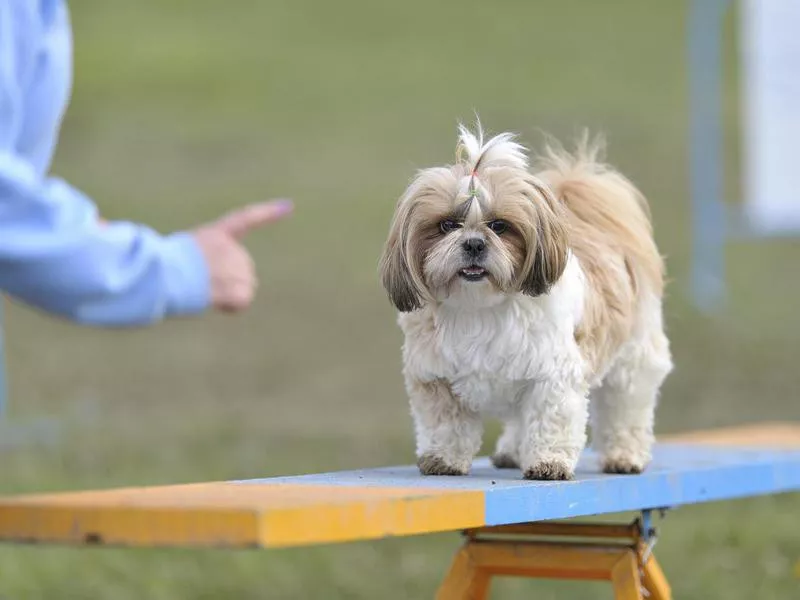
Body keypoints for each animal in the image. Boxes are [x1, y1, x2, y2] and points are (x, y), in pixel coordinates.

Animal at [378, 124, 672, 480]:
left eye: (499, 226)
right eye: (447, 225)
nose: (474, 243)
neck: (479, 307)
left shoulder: (553, 374)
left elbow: (550, 420)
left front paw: (549, 463)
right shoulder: (435, 376)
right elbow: (446, 424)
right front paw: (443, 459)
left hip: (633, 357)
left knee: (626, 408)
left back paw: (624, 455)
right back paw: (512, 451)